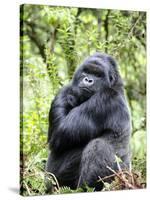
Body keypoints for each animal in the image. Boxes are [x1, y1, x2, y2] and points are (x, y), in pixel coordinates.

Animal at [45, 52, 131, 191]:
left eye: (98, 75)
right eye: (86, 71)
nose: (88, 80)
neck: (114, 85)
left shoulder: (105, 99)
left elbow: (59, 132)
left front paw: (69, 95)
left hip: (120, 177)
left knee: (98, 146)